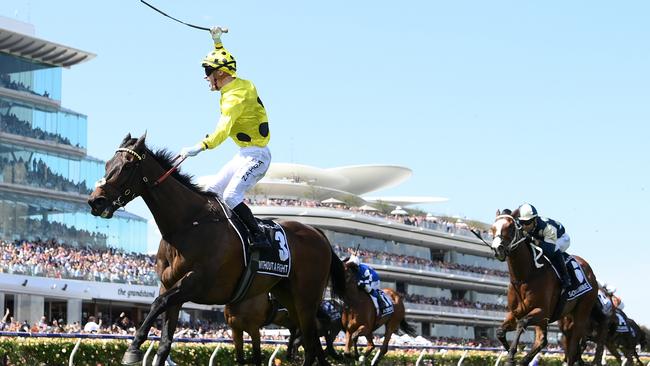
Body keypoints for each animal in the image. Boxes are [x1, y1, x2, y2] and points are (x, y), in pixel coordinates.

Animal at [88, 134, 346, 366]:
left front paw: (132, 348)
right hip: (288, 296)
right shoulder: (170, 286)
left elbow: (157, 303)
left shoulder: (196, 283)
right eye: (108, 164)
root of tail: (318, 233)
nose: (95, 201)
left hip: (306, 298)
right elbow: (164, 344)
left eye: (127, 166)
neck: (187, 224)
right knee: (312, 344)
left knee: (311, 344)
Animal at [488, 210, 596, 364]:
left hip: (581, 314)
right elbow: (500, 332)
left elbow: (522, 323)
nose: (498, 249)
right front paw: (512, 356)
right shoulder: (515, 313)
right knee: (543, 341)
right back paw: (525, 360)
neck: (524, 277)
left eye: (510, 227)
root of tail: (591, 272)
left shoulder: (542, 311)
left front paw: (511, 355)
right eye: (492, 228)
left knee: (573, 345)